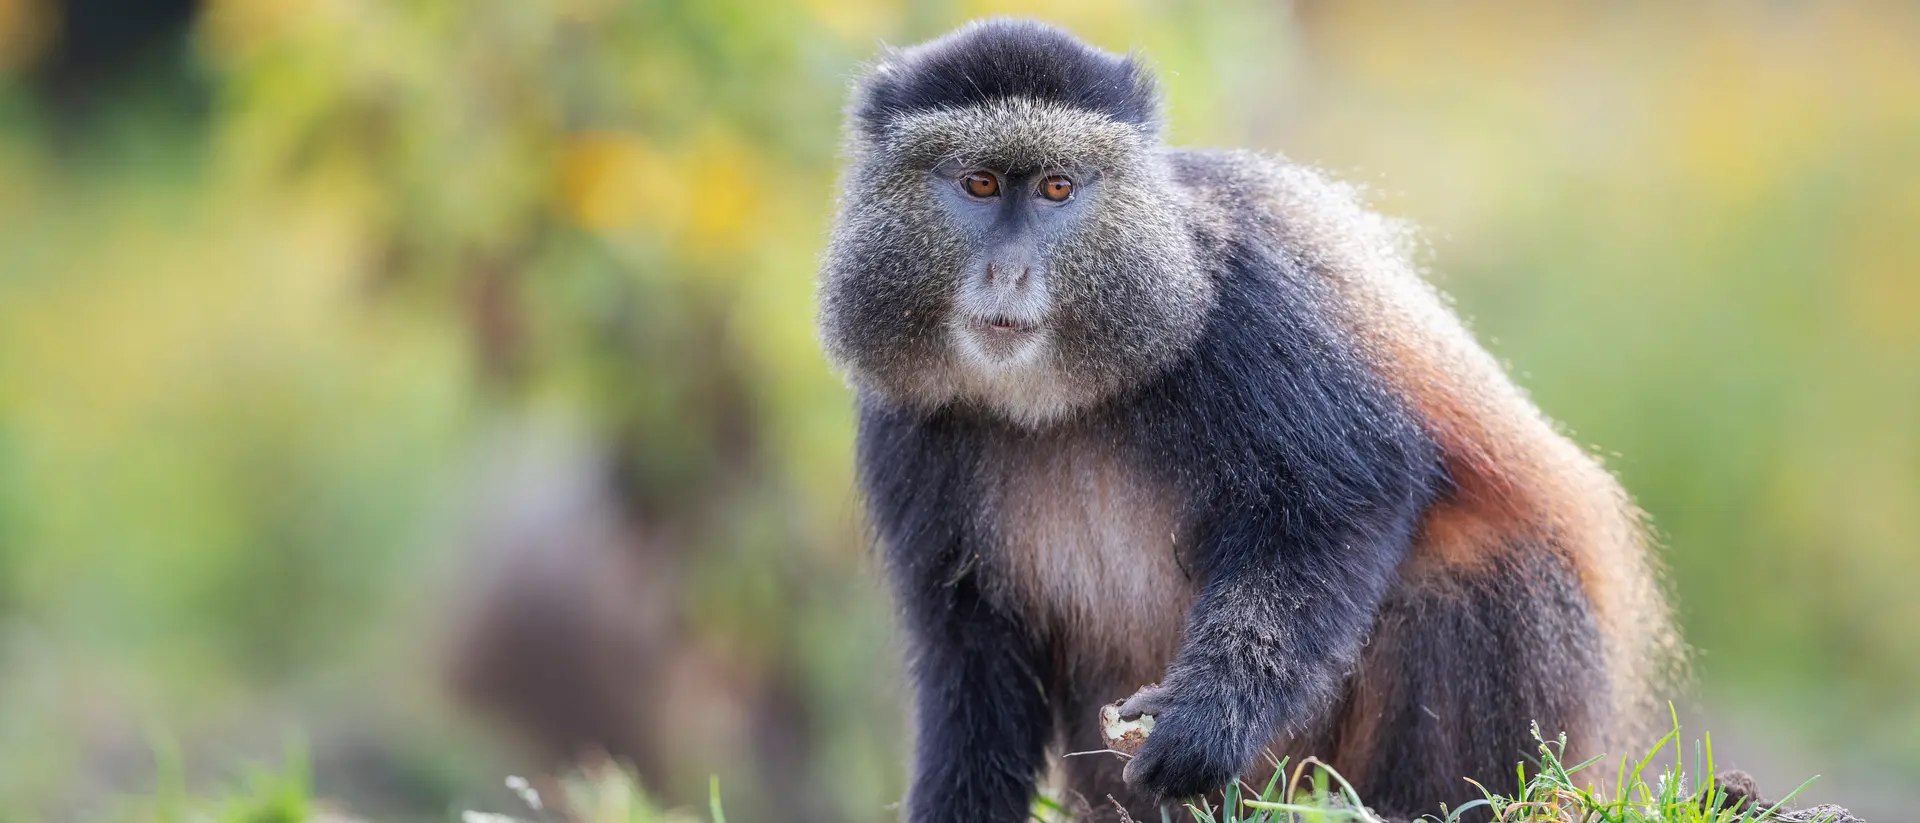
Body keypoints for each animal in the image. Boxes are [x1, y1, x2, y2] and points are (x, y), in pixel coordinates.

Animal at [816, 19, 1677, 823]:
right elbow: (971, 654)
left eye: (1058, 188)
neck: (1055, 399)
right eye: (981, 183)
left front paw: (1205, 724)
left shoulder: (1241, 307)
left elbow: (1348, 494)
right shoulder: (903, 425)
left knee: (1463, 576)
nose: (1009, 271)